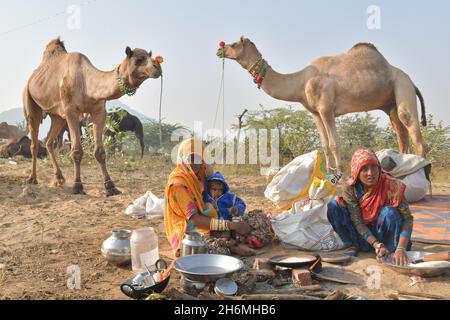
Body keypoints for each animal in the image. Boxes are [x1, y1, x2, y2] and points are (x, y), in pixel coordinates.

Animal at [24, 38, 162, 196]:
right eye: (139, 59)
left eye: (150, 56)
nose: (158, 67)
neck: (86, 83)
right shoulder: (71, 111)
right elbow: (77, 150)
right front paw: (77, 186)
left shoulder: (99, 112)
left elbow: (100, 152)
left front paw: (110, 186)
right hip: (29, 100)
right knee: (34, 140)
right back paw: (32, 178)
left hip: (57, 115)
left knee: (48, 141)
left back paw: (59, 178)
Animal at [220, 36, 428, 174]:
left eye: (234, 44)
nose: (219, 48)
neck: (301, 82)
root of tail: (412, 82)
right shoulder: (315, 113)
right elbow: (325, 144)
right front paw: (328, 171)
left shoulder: (326, 109)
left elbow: (335, 143)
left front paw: (340, 173)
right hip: (389, 103)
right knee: (401, 134)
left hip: (403, 87)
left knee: (412, 129)